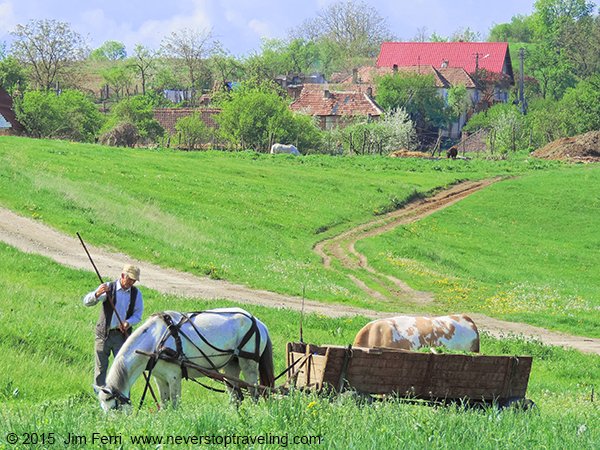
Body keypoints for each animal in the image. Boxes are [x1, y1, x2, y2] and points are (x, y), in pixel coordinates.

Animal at [95, 308, 276, 410]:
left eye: (114, 407)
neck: (155, 341)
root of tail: (258, 322)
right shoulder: (159, 378)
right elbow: (165, 403)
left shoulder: (174, 376)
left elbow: (175, 404)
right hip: (231, 366)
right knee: (235, 396)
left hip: (248, 364)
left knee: (254, 393)